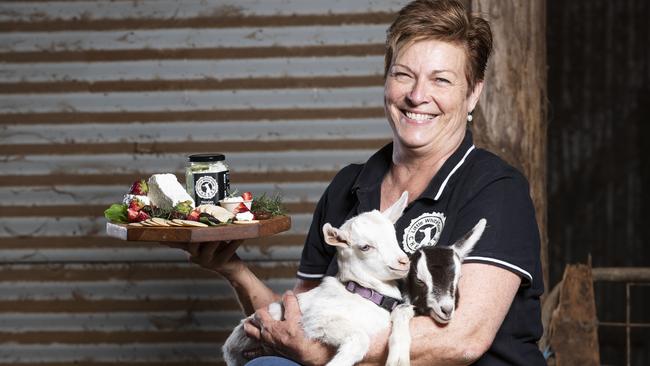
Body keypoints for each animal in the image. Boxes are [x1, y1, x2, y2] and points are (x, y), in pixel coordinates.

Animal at [220, 192, 408, 366]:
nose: (404, 261)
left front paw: (398, 359)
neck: (361, 292)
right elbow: (360, 338)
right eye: (365, 247)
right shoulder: (316, 320)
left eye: (393, 236)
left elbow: (402, 312)